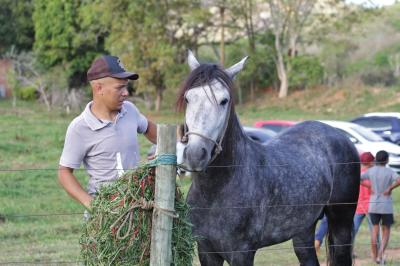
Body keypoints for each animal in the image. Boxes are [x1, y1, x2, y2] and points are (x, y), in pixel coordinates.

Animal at [178, 51, 360, 264]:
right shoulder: (206, 251)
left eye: (224, 100)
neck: (217, 190)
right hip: (303, 229)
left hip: (341, 223)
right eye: (188, 98)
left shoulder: (242, 253)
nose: (195, 154)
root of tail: (342, 137)